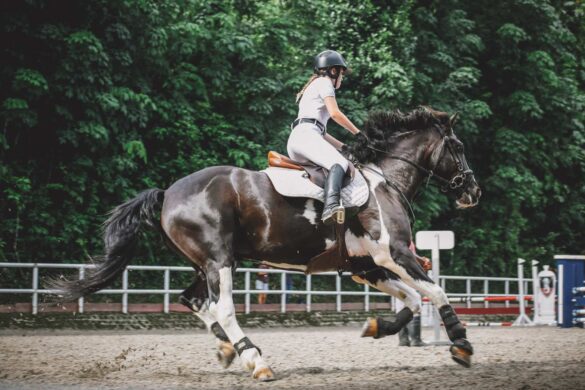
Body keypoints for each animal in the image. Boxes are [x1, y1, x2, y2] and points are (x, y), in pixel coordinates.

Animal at [49, 106, 480, 380]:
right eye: (458, 148)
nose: (473, 192)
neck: (385, 180)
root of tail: (169, 192)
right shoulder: (394, 253)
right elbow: (435, 292)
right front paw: (460, 345)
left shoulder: (368, 267)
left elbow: (412, 301)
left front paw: (376, 326)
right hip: (219, 260)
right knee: (221, 308)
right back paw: (255, 361)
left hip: (206, 263)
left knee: (194, 301)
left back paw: (229, 350)